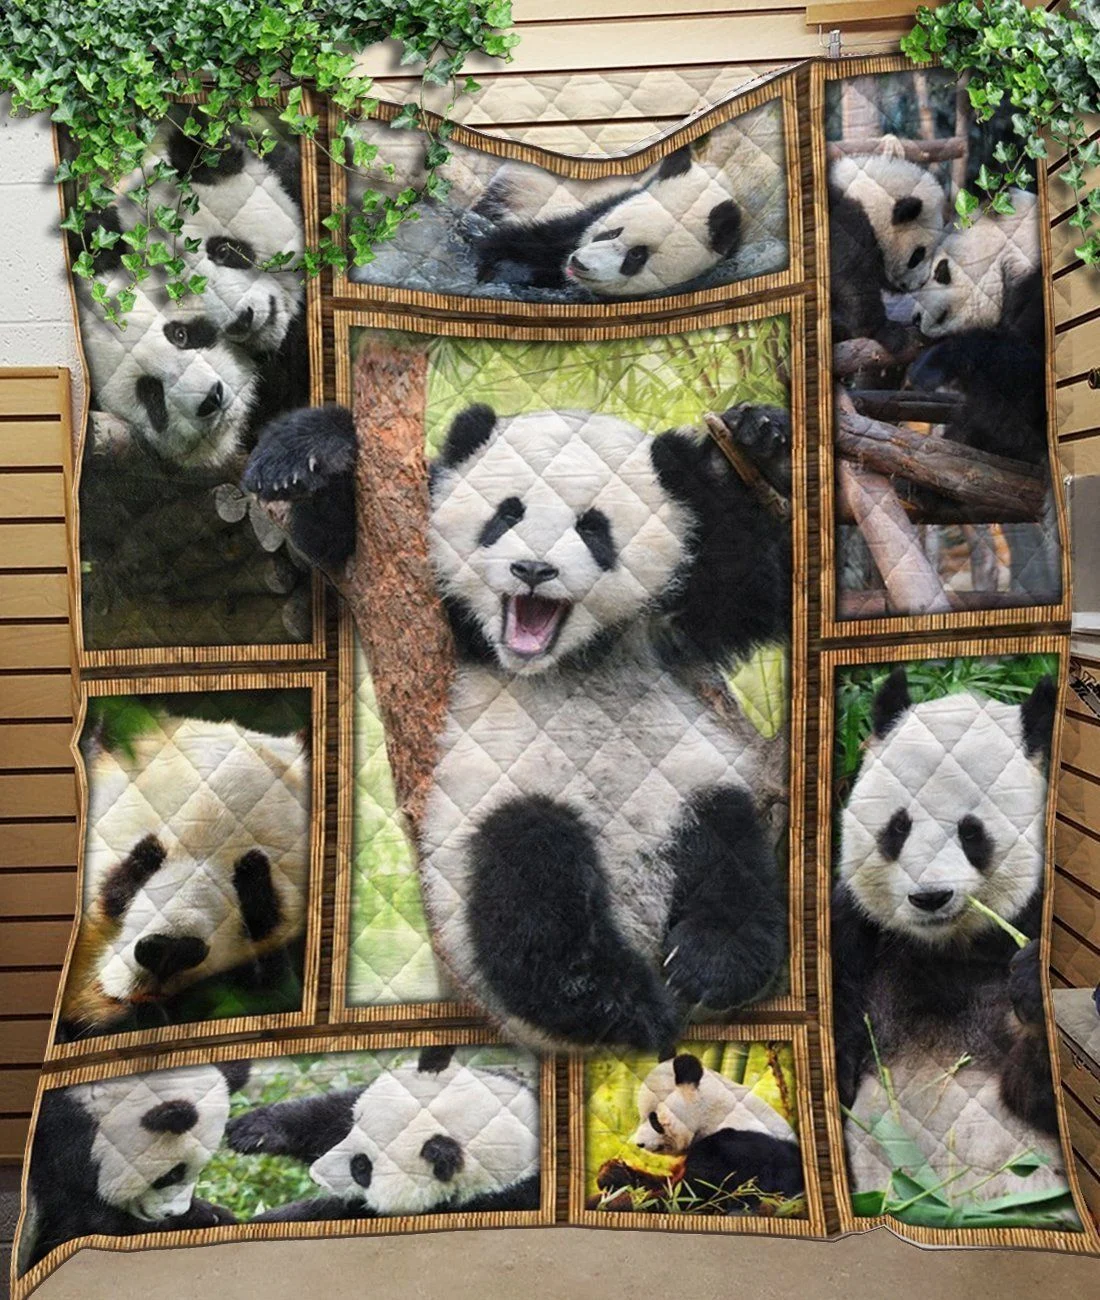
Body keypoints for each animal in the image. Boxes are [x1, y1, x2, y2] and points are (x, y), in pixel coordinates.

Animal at [19, 1061, 248, 1273]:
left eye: (200, 1170)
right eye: (172, 1175)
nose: (174, 1212)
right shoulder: (57, 1148)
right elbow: (85, 1225)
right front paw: (202, 1216)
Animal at [225, 1046, 540, 1221]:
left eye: (361, 1168)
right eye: (354, 1126)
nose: (316, 1176)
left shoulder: (495, 1200)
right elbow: (328, 1114)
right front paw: (251, 1131)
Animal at [244, 400, 789, 1053]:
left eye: (592, 527)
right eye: (507, 513)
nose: (532, 569)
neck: (566, 658)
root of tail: (636, 919)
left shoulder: (672, 619)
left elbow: (748, 584)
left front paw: (754, 439)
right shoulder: (440, 603)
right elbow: (341, 536)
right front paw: (304, 456)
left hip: (684, 793)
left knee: (729, 857)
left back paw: (706, 965)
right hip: (491, 821)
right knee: (528, 879)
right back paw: (615, 1002)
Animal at [596, 1052, 804, 1212]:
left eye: (654, 1120)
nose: (639, 1143)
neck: (714, 1114)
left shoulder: (735, 1148)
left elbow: (688, 1198)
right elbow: (666, 1182)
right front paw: (613, 1172)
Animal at [832, 668, 1072, 1212]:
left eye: (971, 832)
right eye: (898, 826)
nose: (930, 896)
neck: (947, 947)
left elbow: (1037, 1097)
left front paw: (1032, 982)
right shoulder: (855, 934)